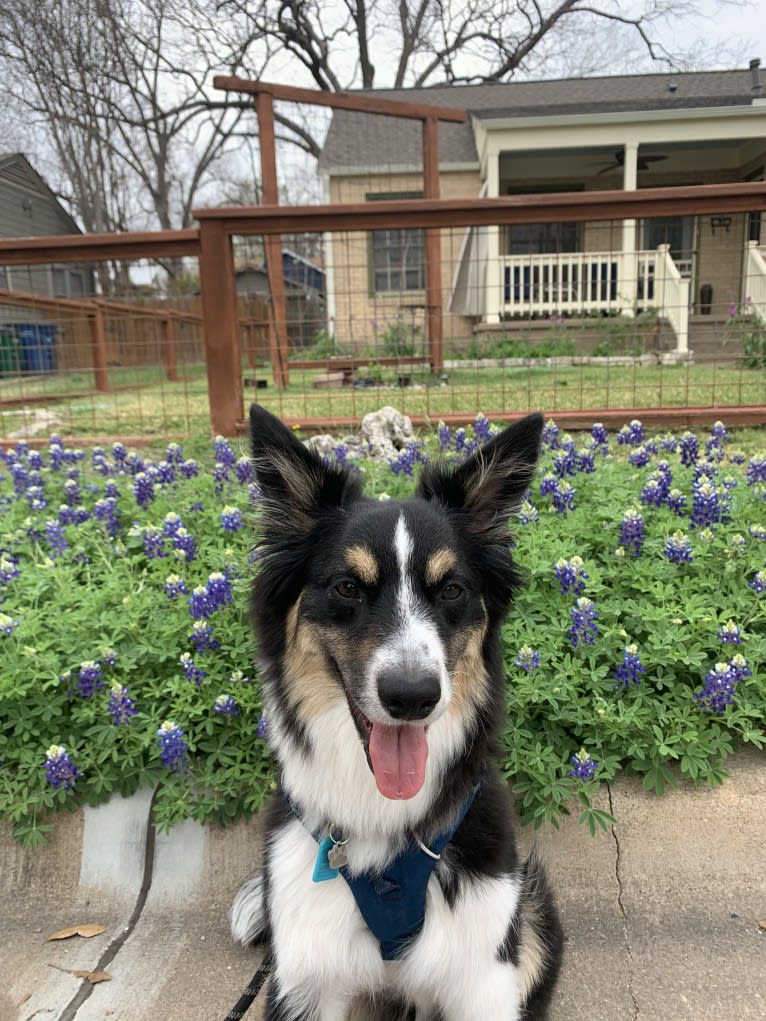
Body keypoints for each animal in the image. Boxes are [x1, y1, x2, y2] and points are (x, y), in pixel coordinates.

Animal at [229, 402, 563, 1016]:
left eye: (451, 589)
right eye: (347, 587)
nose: (412, 695)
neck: (381, 816)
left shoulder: (482, 973)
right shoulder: (306, 978)